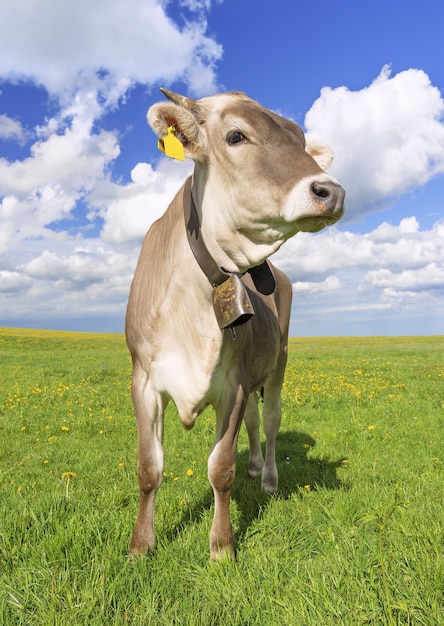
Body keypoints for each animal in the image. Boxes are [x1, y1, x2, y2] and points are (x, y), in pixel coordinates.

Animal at [126, 85, 346, 560]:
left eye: (302, 143)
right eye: (235, 136)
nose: (331, 190)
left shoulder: (236, 382)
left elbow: (220, 468)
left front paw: (222, 546)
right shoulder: (144, 380)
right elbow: (150, 468)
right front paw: (140, 546)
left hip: (278, 363)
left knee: (271, 421)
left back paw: (268, 477)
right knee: (253, 425)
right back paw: (254, 466)